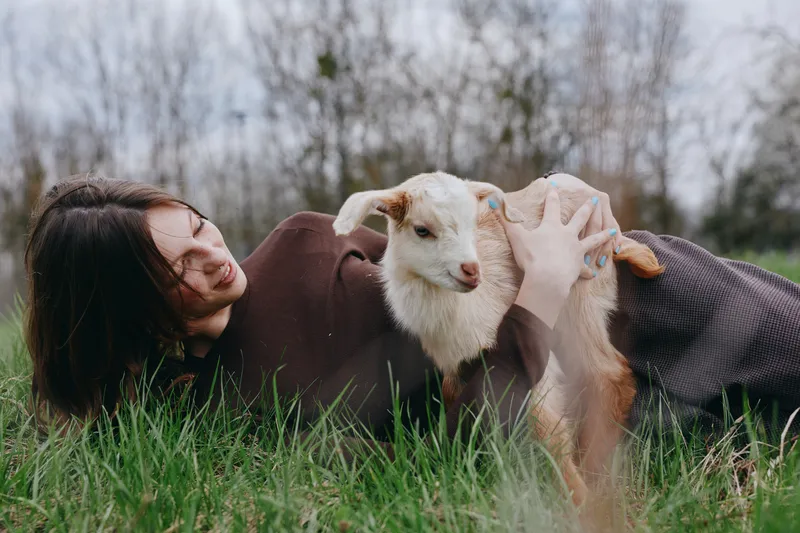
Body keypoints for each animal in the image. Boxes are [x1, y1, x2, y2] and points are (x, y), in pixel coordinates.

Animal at [332, 171, 664, 507]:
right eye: (422, 230)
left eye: (472, 224)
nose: (471, 270)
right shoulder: (457, 360)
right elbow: (455, 394)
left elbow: (548, 428)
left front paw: (577, 500)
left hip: (580, 293)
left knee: (607, 372)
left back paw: (595, 473)